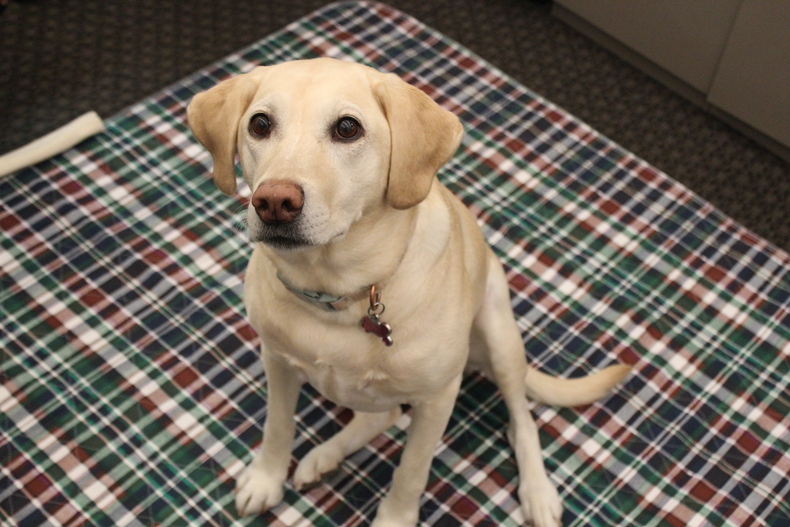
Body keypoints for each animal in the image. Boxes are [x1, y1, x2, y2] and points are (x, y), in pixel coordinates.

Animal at [186, 57, 632, 527]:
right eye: (259, 124)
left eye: (347, 128)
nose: (273, 202)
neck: (339, 292)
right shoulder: (277, 360)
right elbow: (277, 426)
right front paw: (265, 479)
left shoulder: (437, 399)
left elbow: (411, 470)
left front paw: (395, 516)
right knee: (382, 416)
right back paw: (324, 456)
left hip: (500, 336)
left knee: (520, 420)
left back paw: (539, 492)